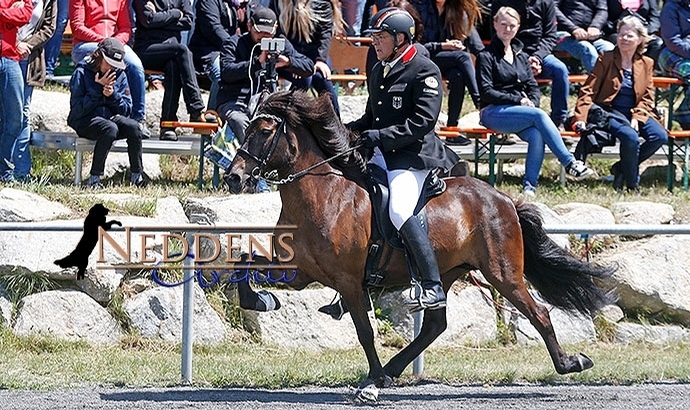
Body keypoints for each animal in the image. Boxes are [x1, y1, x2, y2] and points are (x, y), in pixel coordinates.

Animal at [224, 89, 612, 400]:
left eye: (264, 131)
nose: (233, 177)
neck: (322, 194)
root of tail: (503, 199)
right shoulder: (300, 271)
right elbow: (243, 262)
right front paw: (260, 300)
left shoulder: (348, 281)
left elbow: (365, 332)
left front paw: (372, 382)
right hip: (445, 272)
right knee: (434, 326)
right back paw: (394, 369)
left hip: (503, 273)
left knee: (538, 312)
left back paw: (571, 363)